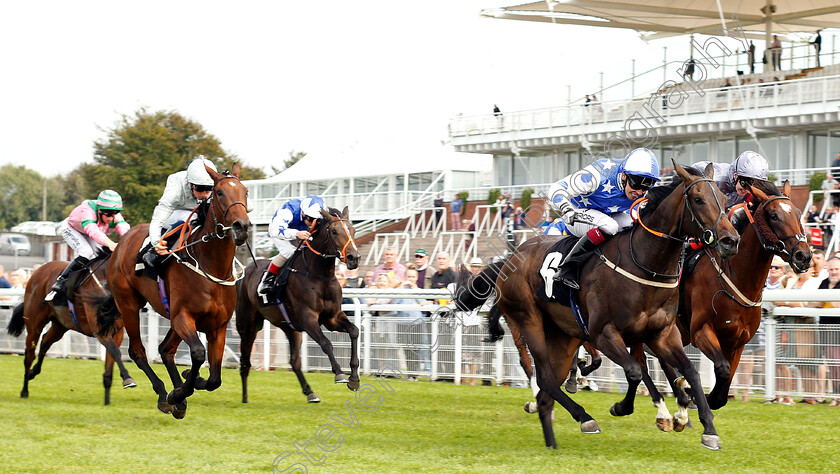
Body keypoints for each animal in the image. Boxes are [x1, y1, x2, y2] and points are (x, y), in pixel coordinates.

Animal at [5, 254, 136, 406]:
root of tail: (38, 271)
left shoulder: (117, 332)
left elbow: (111, 360)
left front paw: (107, 401)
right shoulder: (99, 330)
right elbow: (115, 351)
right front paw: (127, 378)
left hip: (60, 325)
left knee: (45, 341)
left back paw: (33, 372)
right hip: (34, 326)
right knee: (29, 356)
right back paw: (24, 390)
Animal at [104, 164, 251, 418]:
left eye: (245, 191)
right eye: (220, 192)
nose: (241, 227)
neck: (210, 265)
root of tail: (122, 242)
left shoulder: (218, 326)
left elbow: (215, 378)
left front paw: (189, 382)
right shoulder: (184, 317)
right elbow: (199, 353)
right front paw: (178, 393)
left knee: (165, 350)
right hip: (128, 304)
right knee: (138, 351)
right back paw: (165, 395)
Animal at [235, 206, 360, 402]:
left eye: (353, 230)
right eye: (334, 231)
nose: (354, 257)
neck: (318, 275)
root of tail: (244, 270)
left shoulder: (332, 318)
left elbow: (354, 331)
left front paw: (354, 378)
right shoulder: (308, 318)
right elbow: (326, 343)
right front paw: (339, 373)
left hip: (290, 328)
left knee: (294, 361)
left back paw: (310, 392)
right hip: (247, 325)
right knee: (245, 360)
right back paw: (245, 397)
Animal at [456, 165, 740, 450]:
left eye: (723, 199)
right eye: (698, 199)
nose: (730, 240)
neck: (644, 263)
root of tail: (509, 259)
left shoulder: (662, 335)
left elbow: (690, 371)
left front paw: (708, 428)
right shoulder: (604, 334)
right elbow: (635, 371)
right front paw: (623, 407)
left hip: (563, 335)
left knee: (549, 388)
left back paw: (552, 440)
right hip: (528, 321)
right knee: (543, 375)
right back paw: (584, 417)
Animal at [636, 178, 812, 426]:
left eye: (797, 213)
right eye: (774, 215)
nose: (803, 256)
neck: (734, 276)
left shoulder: (738, 342)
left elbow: (723, 386)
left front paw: (696, 397)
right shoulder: (701, 332)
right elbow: (721, 369)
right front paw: (694, 395)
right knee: (640, 362)